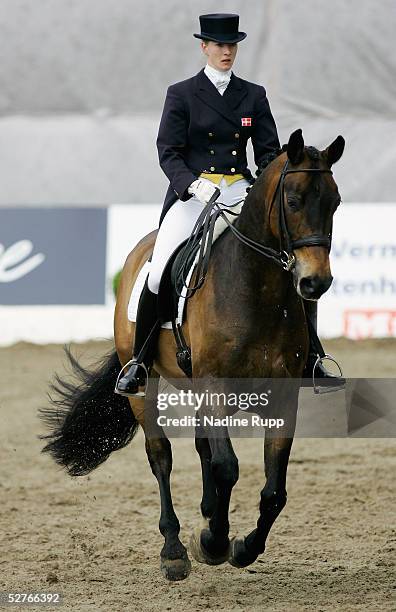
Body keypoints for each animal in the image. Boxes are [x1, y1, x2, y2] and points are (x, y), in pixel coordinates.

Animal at [38, 130, 344, 584]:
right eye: (293, 200)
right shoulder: (214, 387)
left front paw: (242, 547)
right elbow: (227, 466)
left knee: (202, 445)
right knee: (160, 455)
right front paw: (215, 542)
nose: (314, 283)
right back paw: (175, 549)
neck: (256, 288)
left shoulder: (282, 397)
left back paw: (206, 515)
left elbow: (274, 491)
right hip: (143, 385)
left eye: (335, 202)